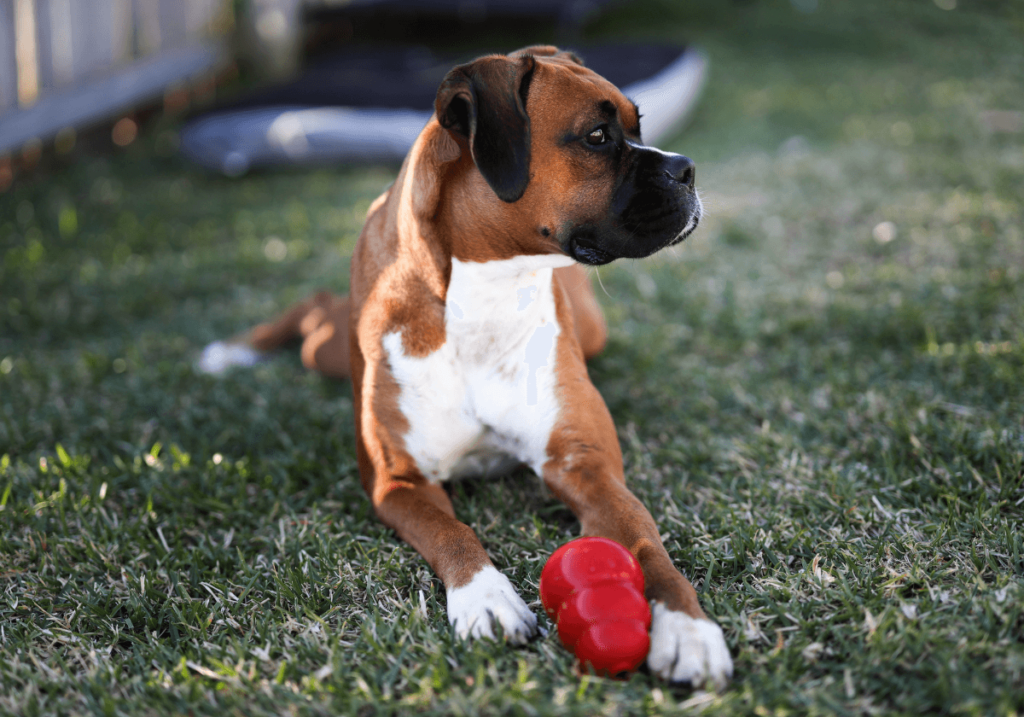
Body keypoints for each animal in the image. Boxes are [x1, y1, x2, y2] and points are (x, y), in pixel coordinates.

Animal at [199, 44, 733, 688]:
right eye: (598, 137)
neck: (487, 293)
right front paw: (486, 597)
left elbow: (647, 545)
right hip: (327, 347)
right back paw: (233, 351)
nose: (687, 169)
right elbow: (451, 531)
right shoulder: (398, 481)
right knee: (315, 310)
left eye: (639, 126)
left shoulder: (587, 467)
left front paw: (687, 627)